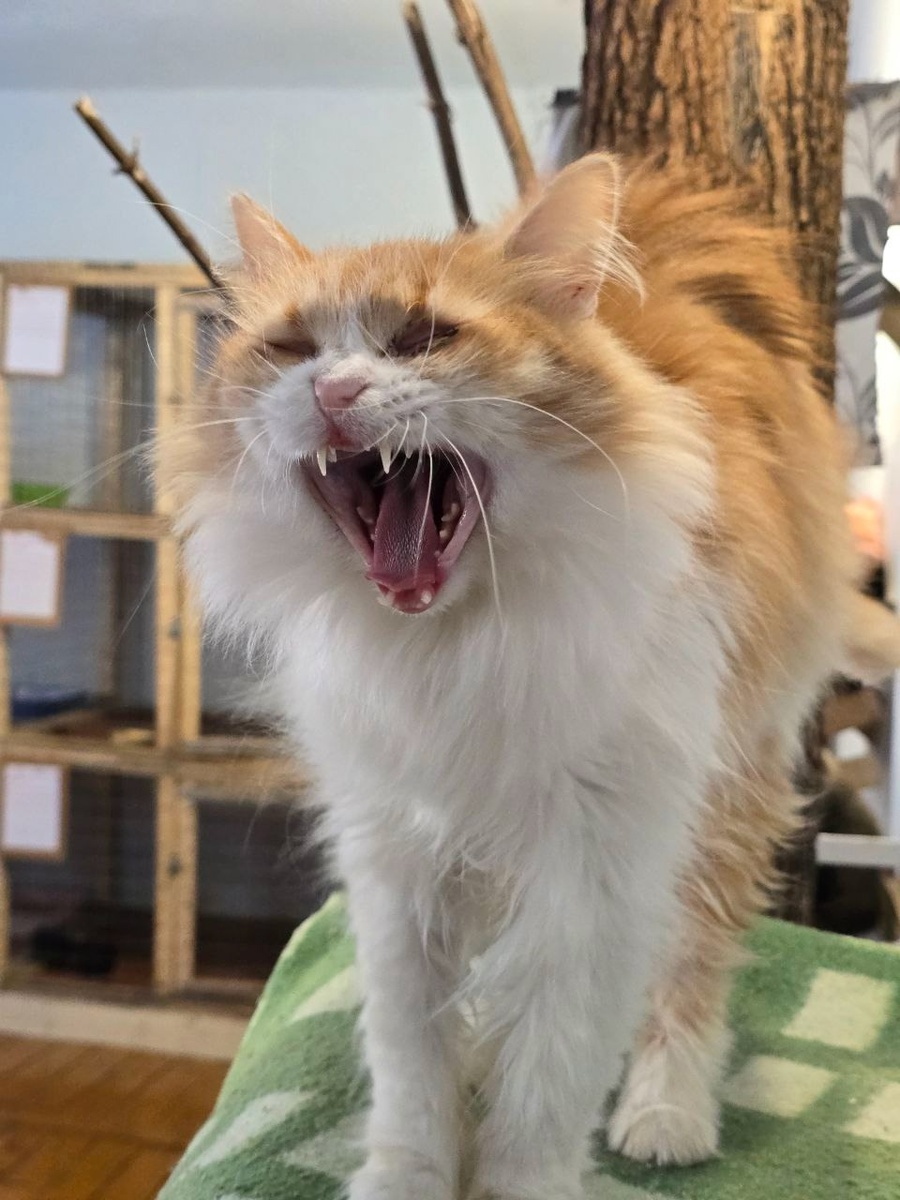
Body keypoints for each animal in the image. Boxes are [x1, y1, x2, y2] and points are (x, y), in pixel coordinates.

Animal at [175, 154, 866, 1200]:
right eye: (289, 347)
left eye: (425, 337)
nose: (331, 388)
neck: (452, 648)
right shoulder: (392, 856)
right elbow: (410, 1065)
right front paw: (408, 1174)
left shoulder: (594, 871)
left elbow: (546, 1079)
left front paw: (519, 1172)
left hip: (730, 788)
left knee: (691, 973)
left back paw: (665, 1115)